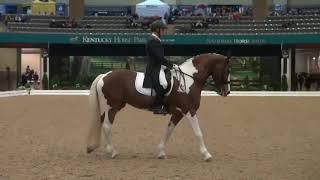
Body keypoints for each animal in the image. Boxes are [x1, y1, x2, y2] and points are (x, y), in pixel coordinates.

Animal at [85, 52, 230, 161]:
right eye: (227, 70)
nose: (227, 92)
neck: (190, 79)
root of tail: (104, 75)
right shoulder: (189, 110)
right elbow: (198, 132)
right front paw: (206, 155)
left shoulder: (178, 113)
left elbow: (168, 130)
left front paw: (161, 152)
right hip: (112, 107)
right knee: (107, 126)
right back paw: (113, 152)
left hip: (113, 107)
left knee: (103, 124)